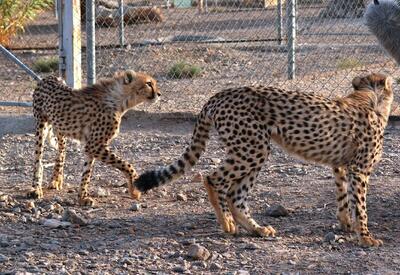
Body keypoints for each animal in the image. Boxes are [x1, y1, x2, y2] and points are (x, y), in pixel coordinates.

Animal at [28, 70, 161, 206]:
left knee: (61, 153)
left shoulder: (92, 146)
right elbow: (127, 165)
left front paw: (82, 197)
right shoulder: (94, 145)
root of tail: (49, 77)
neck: (120, 99)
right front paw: (135, 189)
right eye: (148, 83)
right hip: (41, 125)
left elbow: (87, 172)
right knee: (38, 159)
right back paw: (35, 188)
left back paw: (55, 180)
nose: (159, 94)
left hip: (61, 129)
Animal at [134, 73, 394, 248]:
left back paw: (257, 229)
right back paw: (227, 223)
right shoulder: (360, 170)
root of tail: (218, 95)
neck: (369, 96)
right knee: (213, 179)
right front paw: (366, 236)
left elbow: (343, 198)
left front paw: (346, 225)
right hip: (253, 147)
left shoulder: (340, 166)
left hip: (253, 150)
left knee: (235, 194)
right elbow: (360, 205)